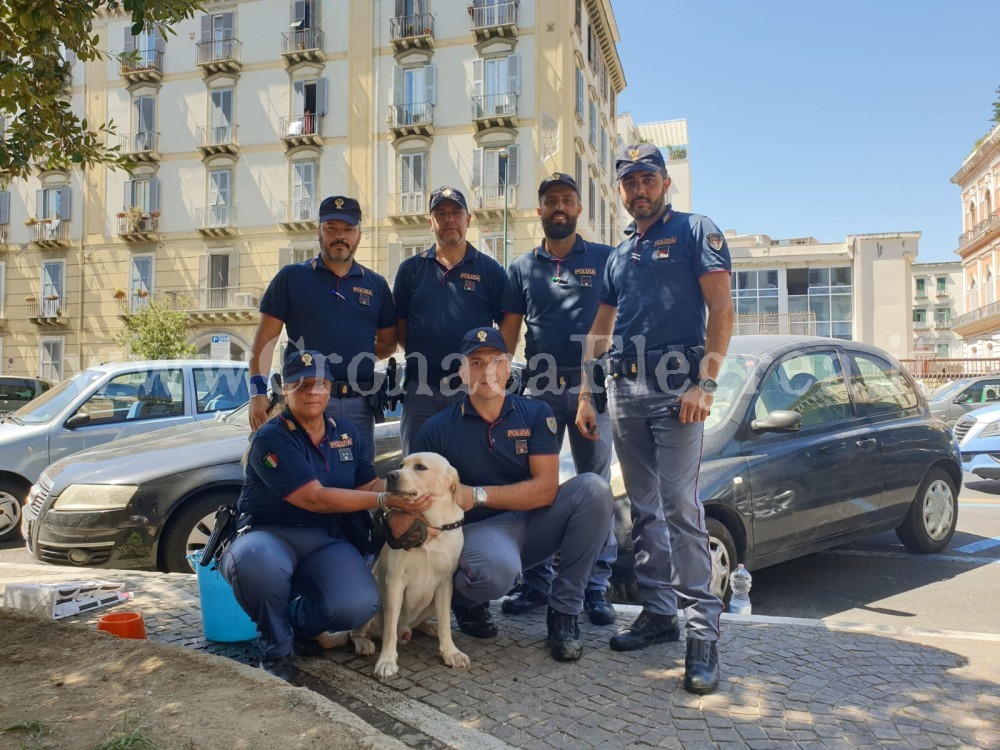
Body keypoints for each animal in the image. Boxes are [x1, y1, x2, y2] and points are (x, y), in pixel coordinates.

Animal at [318, 452, 470, 680]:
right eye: (401, 464)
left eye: (420, 467)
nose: (391, 475)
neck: (429, 523)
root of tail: (405, 630)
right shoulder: (395, 581)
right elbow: (390, 630)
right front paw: (387, 661)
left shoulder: (445, 583)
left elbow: (446, 624)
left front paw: (450, 652)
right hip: (375, 602)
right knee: (355, 632)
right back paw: (364, 643)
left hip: (431, 603)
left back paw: (428, 627)